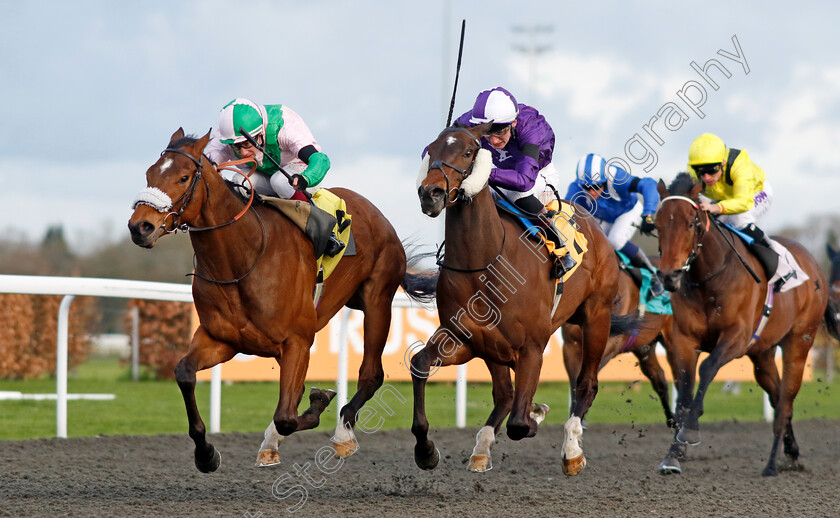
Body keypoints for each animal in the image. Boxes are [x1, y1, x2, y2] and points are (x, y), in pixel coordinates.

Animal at [130, 128, 440, 474]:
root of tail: (379, 215)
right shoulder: (222, 339)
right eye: (149, 174)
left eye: (183, 177)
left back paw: (347, 435)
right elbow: (184, 372)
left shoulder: (297, 341)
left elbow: (287, 416)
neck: (243, 256)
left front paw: (318, 404)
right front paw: (206, 453)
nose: (140, 226)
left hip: (377, 300)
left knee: (371, 374)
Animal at [414, 124, 636, 478]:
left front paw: (535, 416)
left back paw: (572, 450)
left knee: (586, 383)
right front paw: (426, 451)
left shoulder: (532, 345)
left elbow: (519, 423)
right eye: (430, 150)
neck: (486, 261)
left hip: (596, 316)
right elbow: (420, 364)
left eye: (467, 152)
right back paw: (483, 447)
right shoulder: (465, 339)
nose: (430, 193)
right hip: (495, 346)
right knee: (505, 393)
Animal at [564, 256, 676, 430]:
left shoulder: (608, 346)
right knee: (660, 379)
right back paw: (672, 420)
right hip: (645, 348)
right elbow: (574, 382)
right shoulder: (570, 347)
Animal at [648, 176, 828, 480]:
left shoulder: (737, 337)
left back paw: (772, 464)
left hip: (799, 342)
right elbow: (684, 390)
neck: (708, 280)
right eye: (657, 225)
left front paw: (690, 430)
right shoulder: (683, 340)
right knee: (777, 395)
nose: (670, 276)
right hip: (762, 354)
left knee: (786, 399)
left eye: (691, 223)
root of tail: (814, 263)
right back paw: (791, 451)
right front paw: (673, 455)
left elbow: (708, 368)